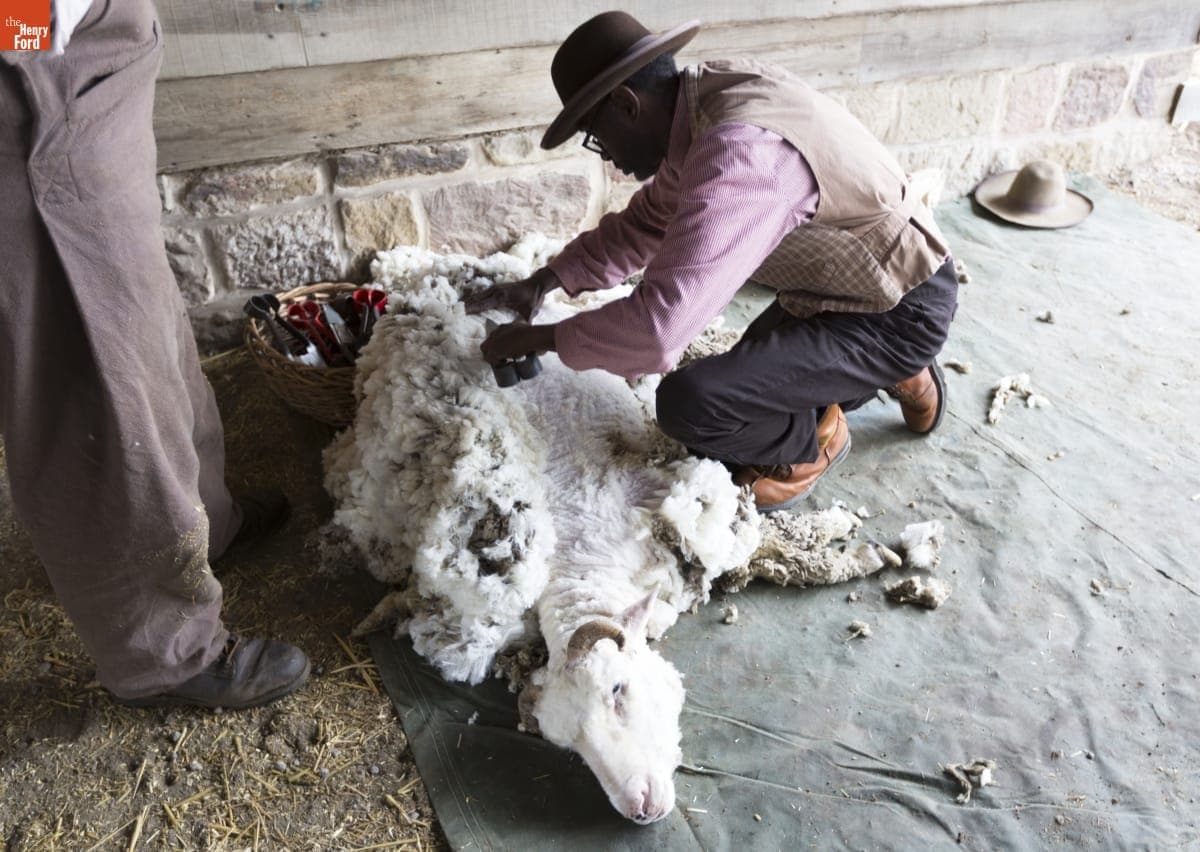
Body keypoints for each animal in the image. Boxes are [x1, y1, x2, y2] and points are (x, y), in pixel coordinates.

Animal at [324, 238, 888, 823]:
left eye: (618, 690)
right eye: (570, 744)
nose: (639, 806)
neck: (585, 553)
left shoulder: (663, 500)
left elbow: (766, 543)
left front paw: (857, 545)